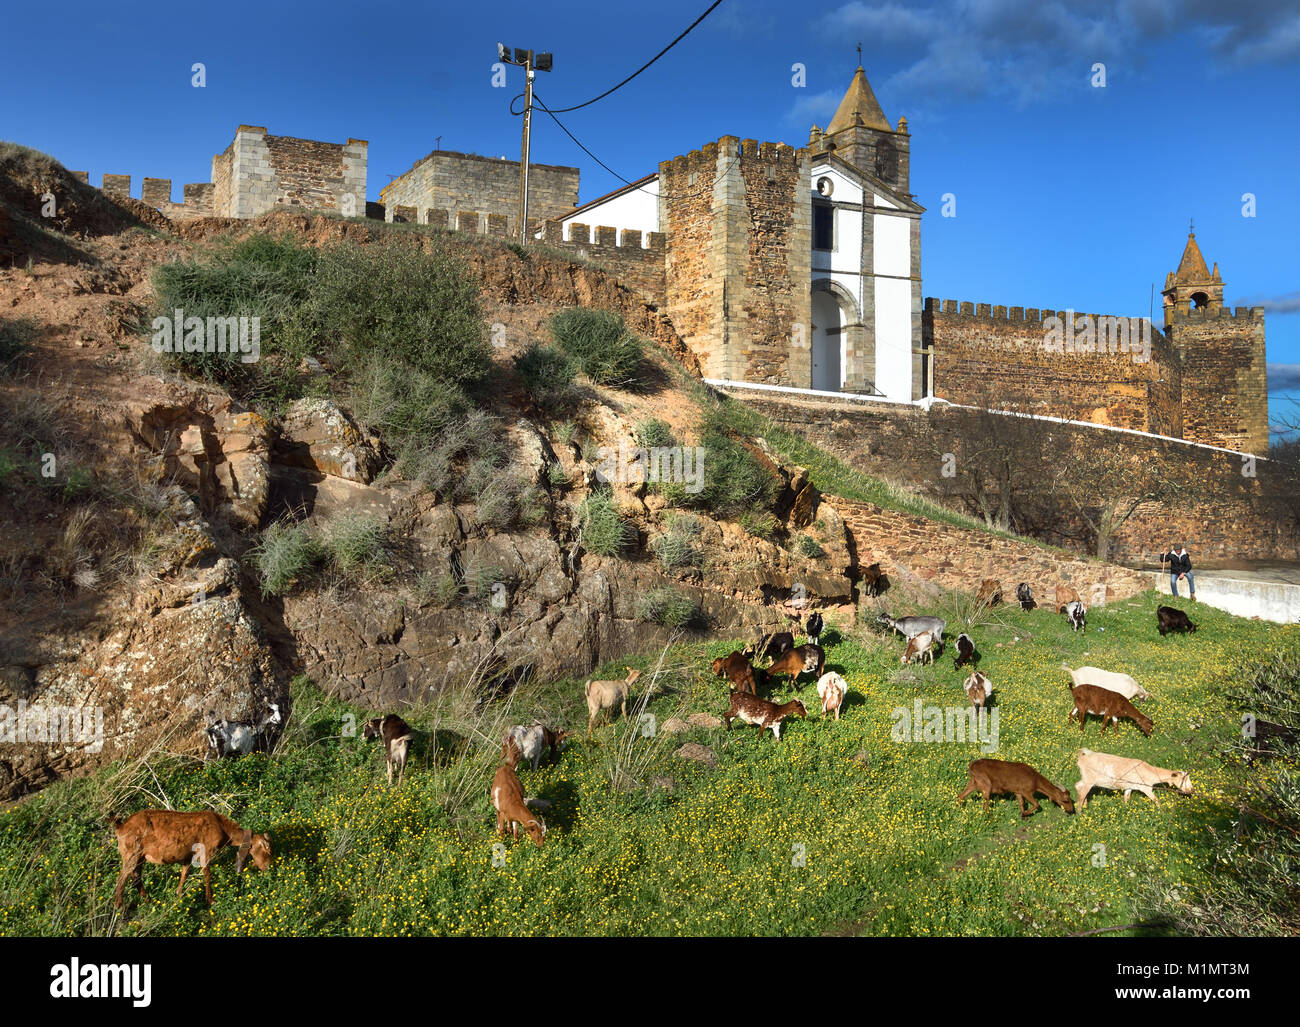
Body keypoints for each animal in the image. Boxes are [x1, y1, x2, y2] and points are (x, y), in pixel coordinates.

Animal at [111, 811, 271, 909]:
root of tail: (120, 827)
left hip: (139, 856)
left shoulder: (188, 856)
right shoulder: (206, 850)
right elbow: (207, 874)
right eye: (267, 849)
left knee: (136, 876)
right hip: (131, 853)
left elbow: (185, 874)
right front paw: (211, 901)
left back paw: (148, 901)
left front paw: (178, 894)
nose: (267, 868)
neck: (222, 828)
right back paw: (119, 908)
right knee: (121, 879)